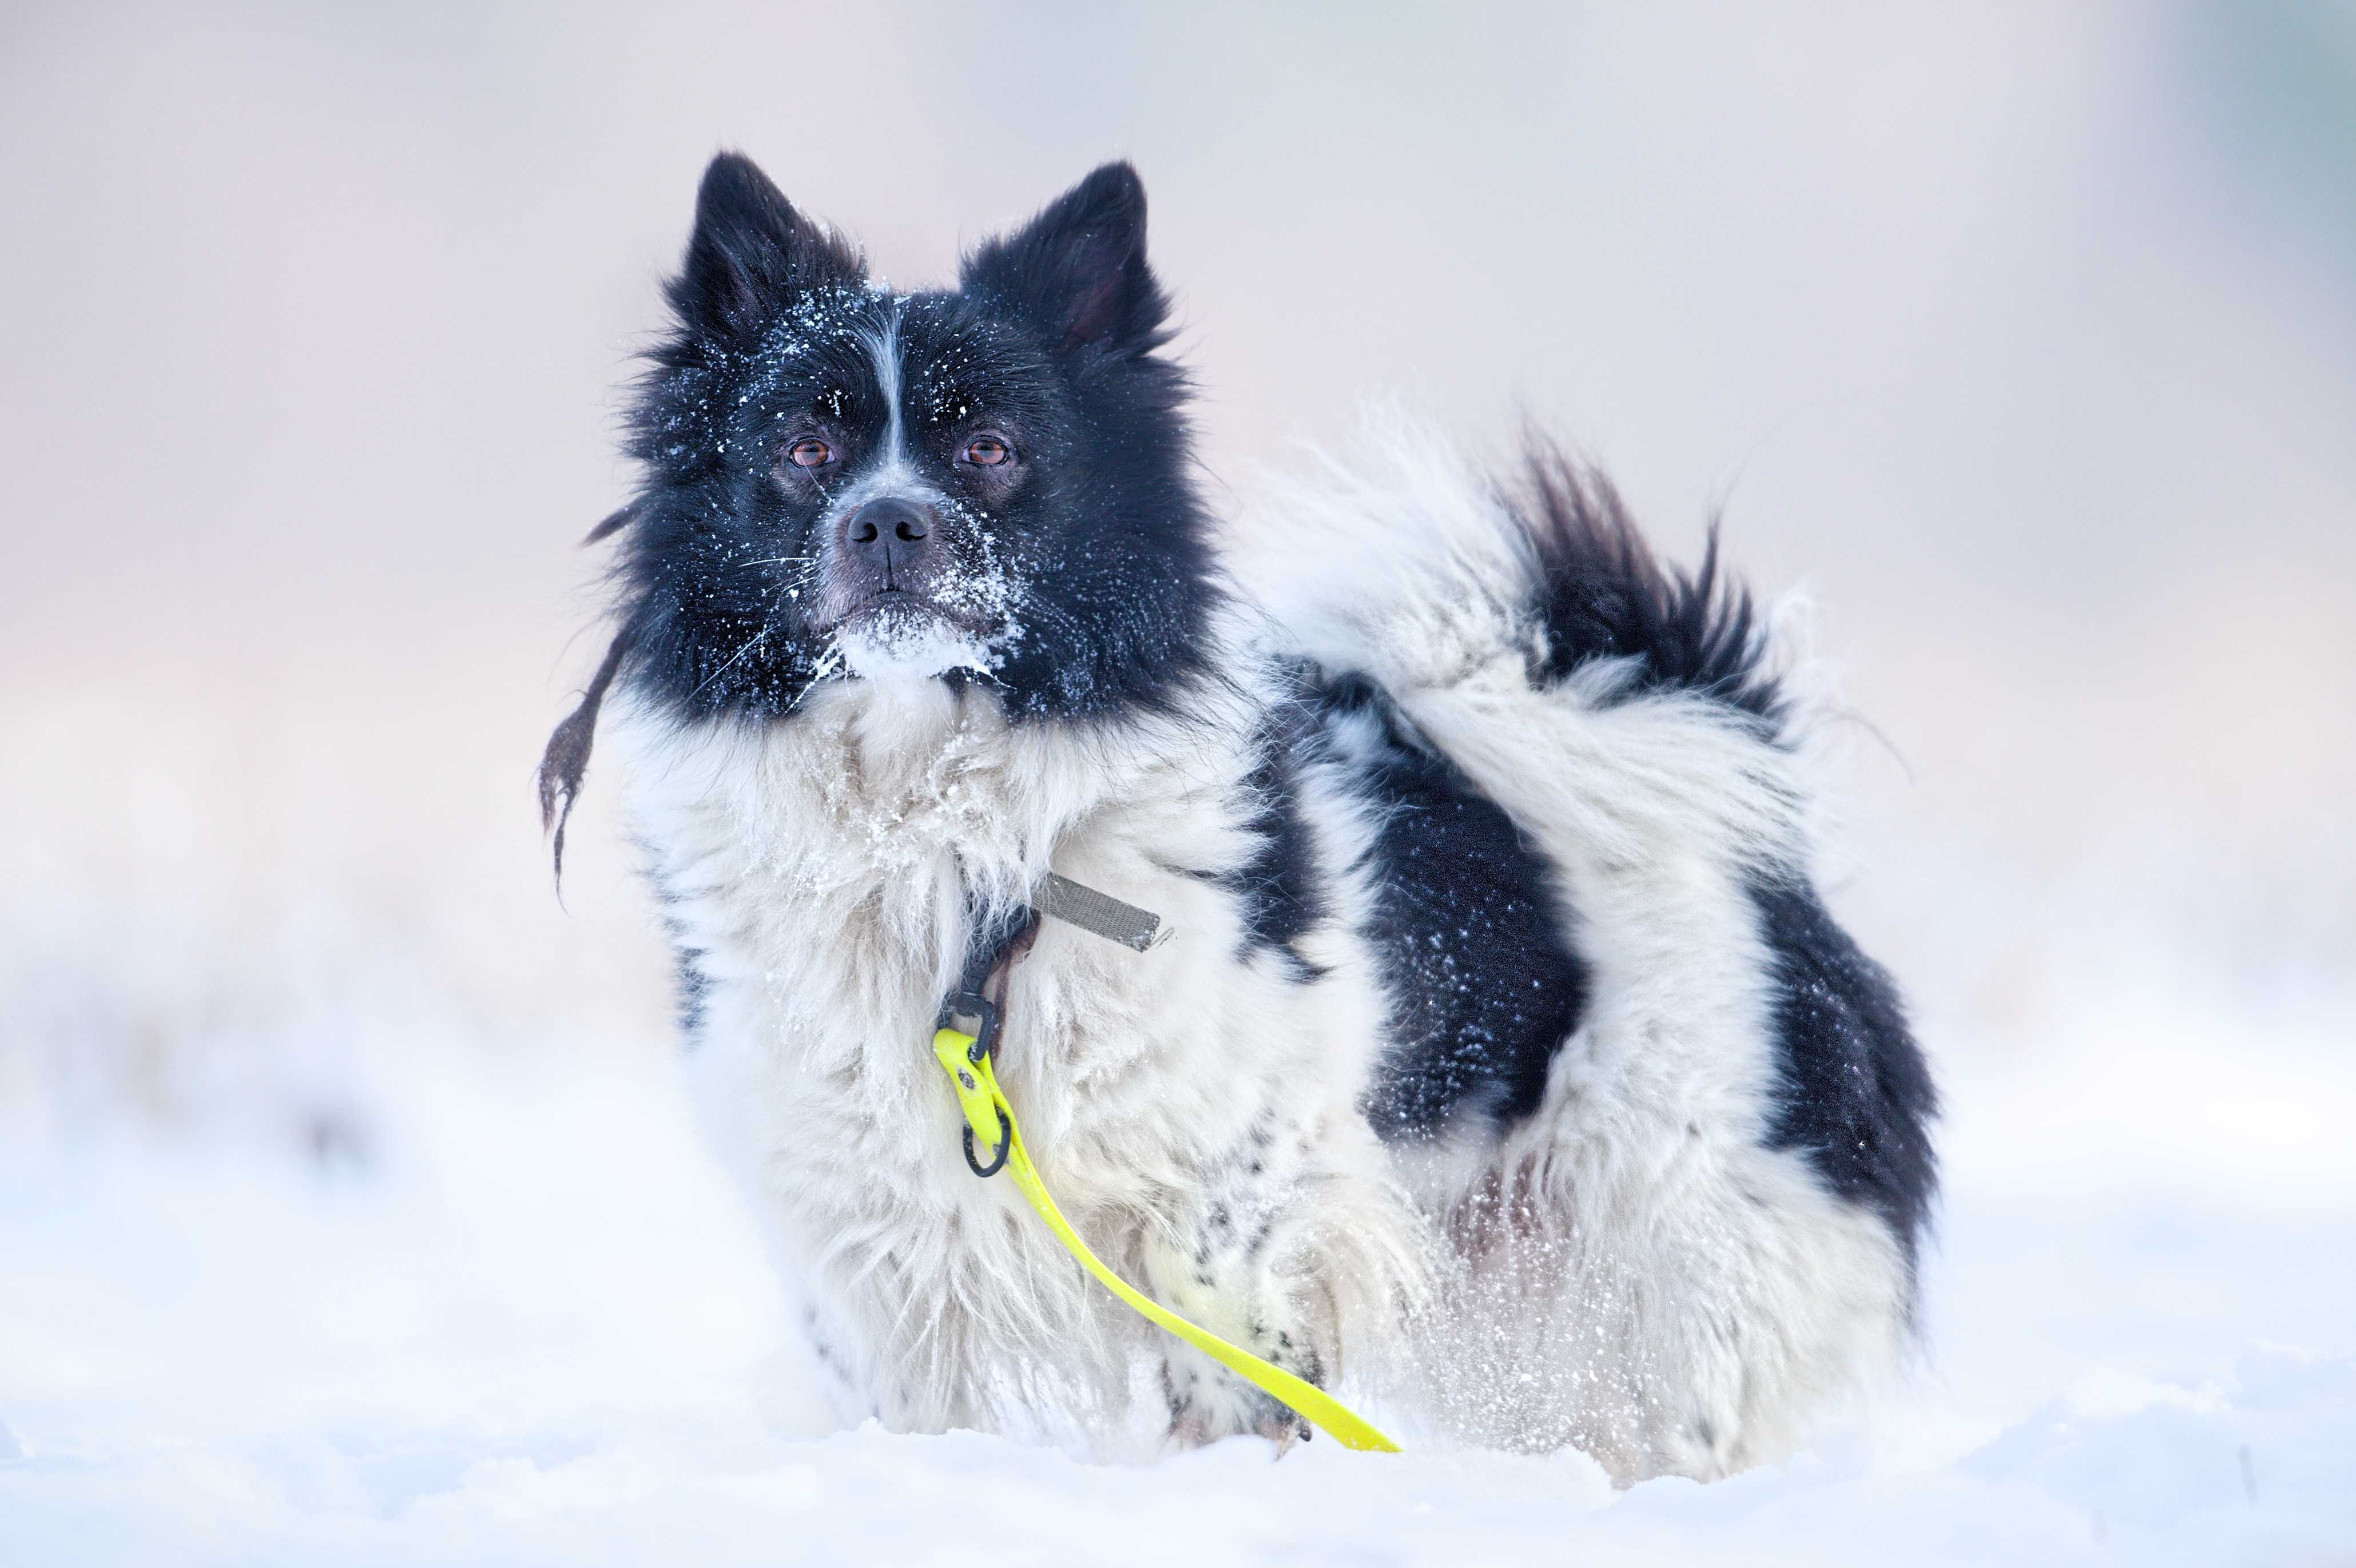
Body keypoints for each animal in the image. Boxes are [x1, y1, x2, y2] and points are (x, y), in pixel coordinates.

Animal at [546, 149, 1932, 1478]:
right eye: (803, 449)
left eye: (989, 447)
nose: (888, 520)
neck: (936, 842)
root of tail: (1705, 753)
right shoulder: (869, 1227)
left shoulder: (1235, 1176)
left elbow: (1227, 1356)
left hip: (1672, 1260)